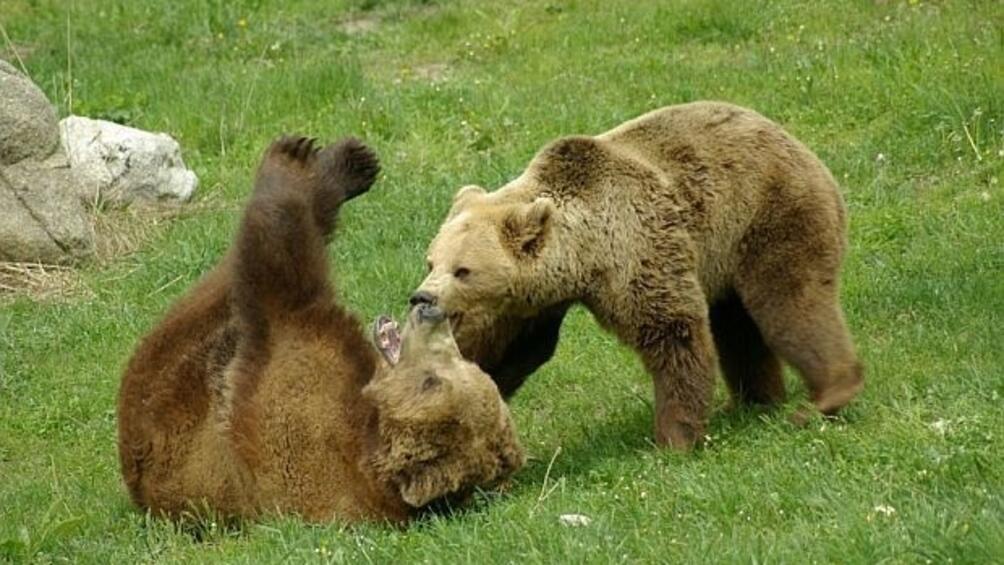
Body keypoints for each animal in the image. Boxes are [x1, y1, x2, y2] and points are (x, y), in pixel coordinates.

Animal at [115, 134, 526, 525]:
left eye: (432, 380)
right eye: (465, 365)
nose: (431, 311)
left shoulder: (306, 401)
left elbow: (283, 277)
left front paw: (301, 162)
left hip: (166, 400)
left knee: (226, 282)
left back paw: (309, 161)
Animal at [411, 100, 867, 451]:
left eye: (463, 270)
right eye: (431, 261)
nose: (422, 297)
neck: (583, 254)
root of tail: (791, 139)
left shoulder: (636, 249)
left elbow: (672, 330)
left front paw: (674, 438)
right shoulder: (534, 302)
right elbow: (517, 352)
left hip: (769, 215)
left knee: (788, 302)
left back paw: (826, 395)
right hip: (723, 258)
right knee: (738, 327)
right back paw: (753, 402)